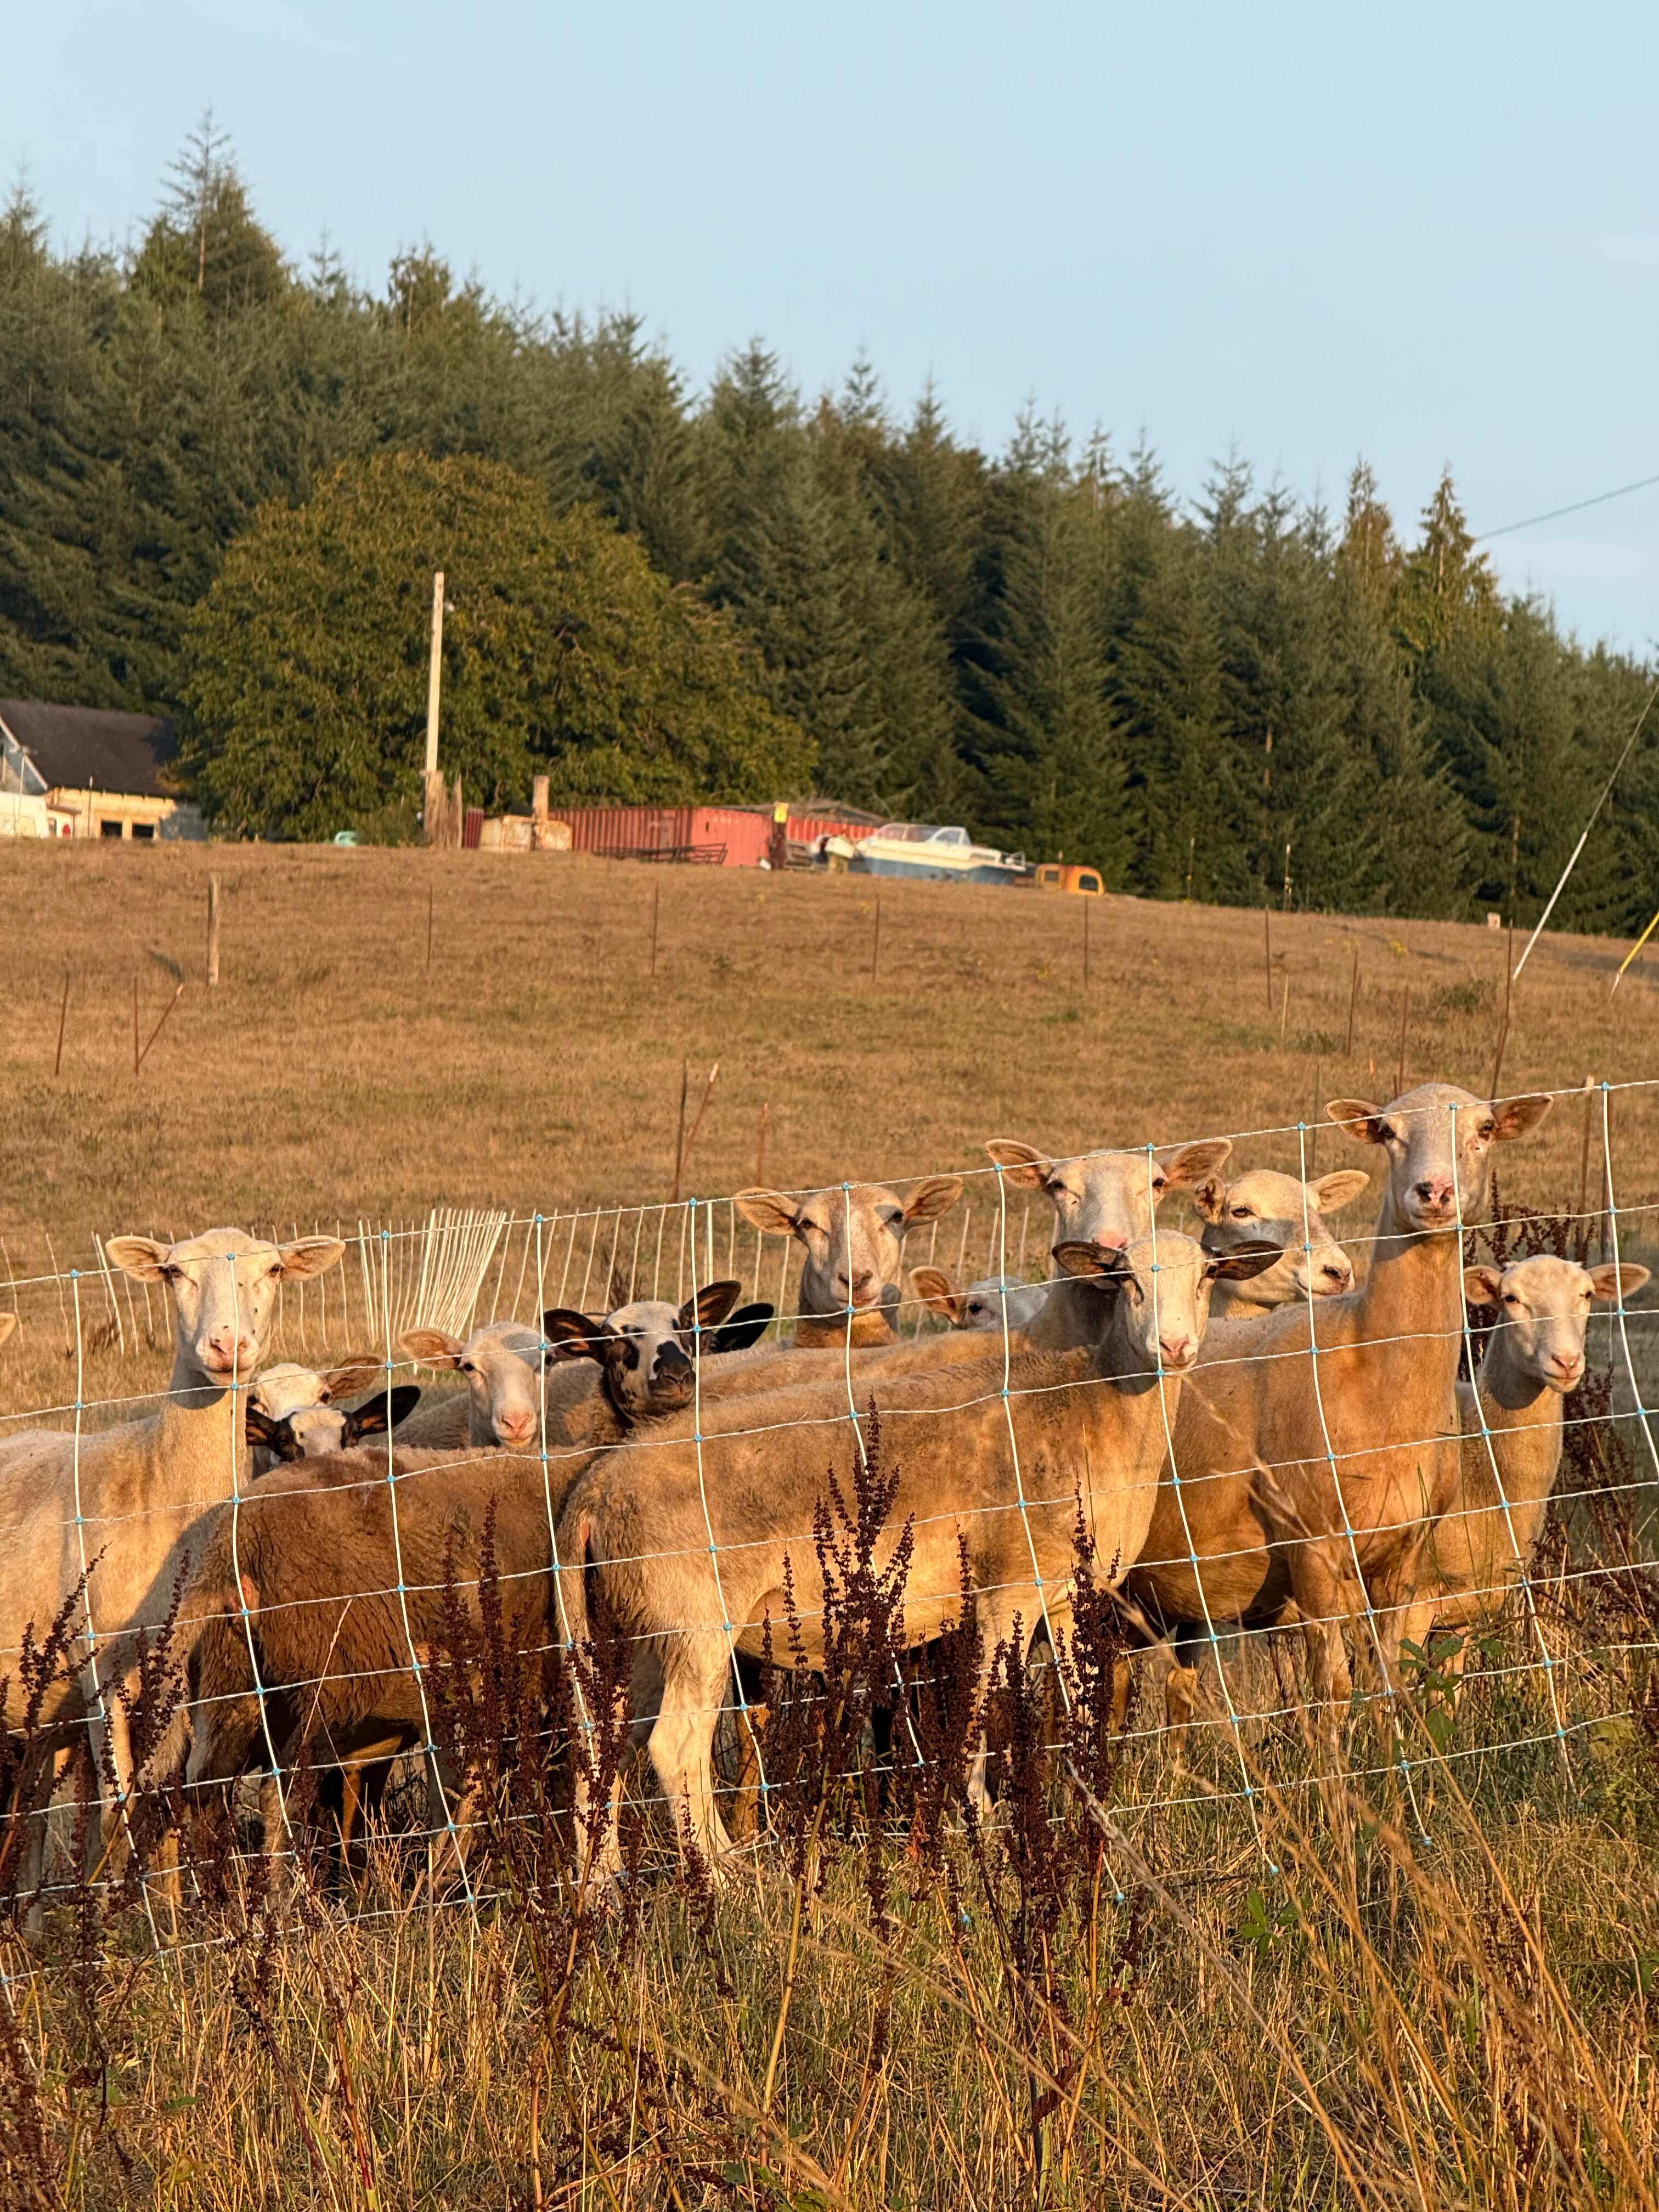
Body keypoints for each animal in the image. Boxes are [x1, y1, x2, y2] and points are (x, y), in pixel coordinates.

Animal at [0, 1227, 345, 1902]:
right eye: (174, 1273)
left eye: (273, 1270)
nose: (227, 1345)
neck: (158, 1485)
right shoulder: (100, 1668)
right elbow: (119, 1816)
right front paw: (128, 1921)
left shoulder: (183, 1674)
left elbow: (166, 1805)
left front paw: (174, 1910)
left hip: (42, 1715)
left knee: (29, 1826)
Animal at [554, 1229, 1281, 1876]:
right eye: (1127, 1279)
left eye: (1208, 1277)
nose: (1175, 1345)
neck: (1091, 1407)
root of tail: (593, 1492)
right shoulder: (1004, 1592)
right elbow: (976, 1714)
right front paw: (977, 1830)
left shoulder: (1068, 1598)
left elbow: (1082, 1711)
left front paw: (1091, 1819)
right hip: (695, 1621)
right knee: (675, 1748)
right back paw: (727, 1875)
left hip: (634, 1629)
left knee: (604, 1747)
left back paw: (603, 1884)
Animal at [1120, 1084, 1553, 1731]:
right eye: (1388, 1132)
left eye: (1485, 1129)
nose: (1434, 1192)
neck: (1373, 1371)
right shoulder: (1313, 1550)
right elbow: (1333, 1689)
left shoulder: (1404, 1560)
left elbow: (1388, 1681)